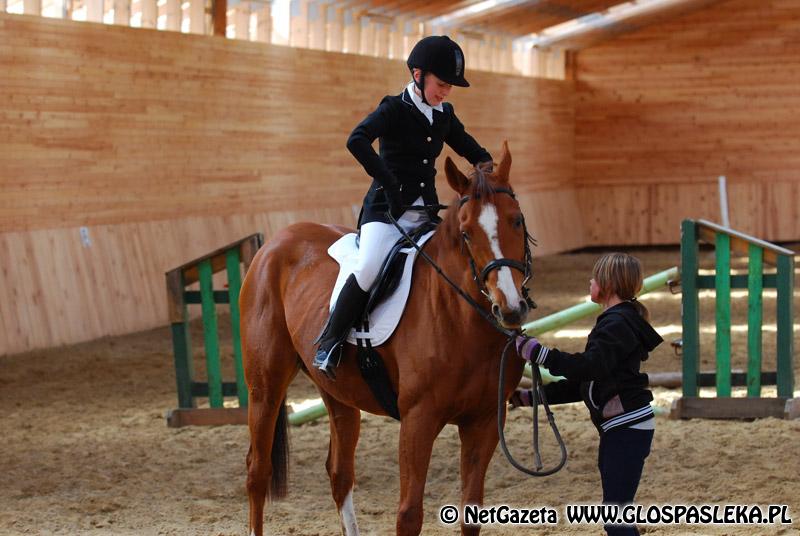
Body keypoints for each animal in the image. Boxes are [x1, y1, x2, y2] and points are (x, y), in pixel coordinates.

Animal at [241, 141, 532, 536]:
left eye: (517, 220)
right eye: (467, 232)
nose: (510, 309)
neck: (462, 320)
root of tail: (275, 242)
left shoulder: (484, 421)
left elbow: (471, 513)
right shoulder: (417, 420)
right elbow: (408, 514)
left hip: (338, 394)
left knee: (339, 472)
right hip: (265, 386)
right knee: (258, 471)